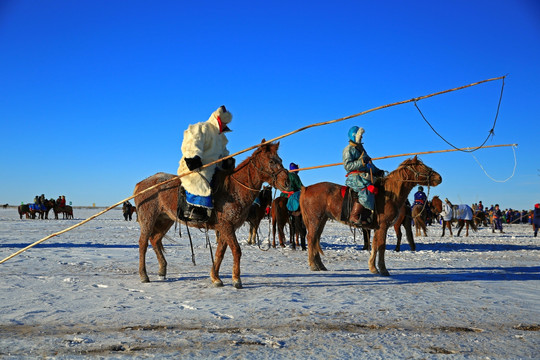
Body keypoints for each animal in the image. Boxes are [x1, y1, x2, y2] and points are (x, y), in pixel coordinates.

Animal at [133, 141, 288, 290]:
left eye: (280, 159)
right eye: (271, 161)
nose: (286, 182)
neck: (234, 190)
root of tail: (141, 184)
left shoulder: (226, 228)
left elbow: (220, 252)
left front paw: (215, 278)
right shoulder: (226, 226)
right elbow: (236, 250)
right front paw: (236, 280)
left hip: (165, 220)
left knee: (155, 240)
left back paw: (162, 270)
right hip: (148, 218)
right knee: (143, 243)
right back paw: (144, 275)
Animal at [300, 155, 442, 276]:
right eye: (422, 166)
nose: (439, 177)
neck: (389, 195)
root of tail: (306, 188)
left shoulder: (377, 228)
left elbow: (375, 245)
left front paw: (373, 267)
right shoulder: (383, 226)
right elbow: (381, 246)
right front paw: (382, 269)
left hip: (322, 220)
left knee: (315, 239)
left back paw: (320, 265)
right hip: (315, 220)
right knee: (311, 238)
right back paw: (313, 265)